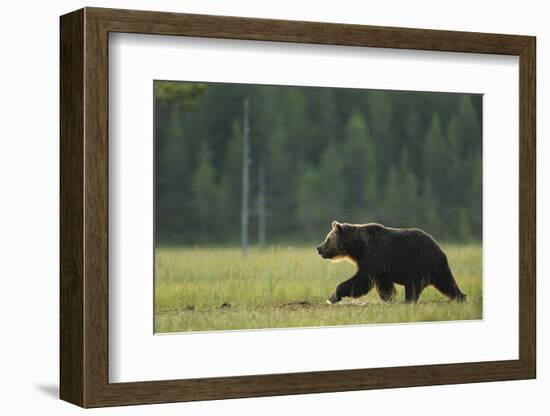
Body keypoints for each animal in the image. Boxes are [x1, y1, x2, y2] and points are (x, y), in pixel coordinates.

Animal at [316, 221, 468, 306]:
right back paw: (461, 297)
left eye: (328, 239)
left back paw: (409, 301)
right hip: (434, 267)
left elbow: (361, 280)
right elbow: (384, 285)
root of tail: (439, 248)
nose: (319, 248)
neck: (358, 247)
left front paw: (333, 296)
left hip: (419, 263)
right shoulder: (380, 267)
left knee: (414, 286)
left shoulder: (373, 257)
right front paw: (388, 299)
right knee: (446, 283)